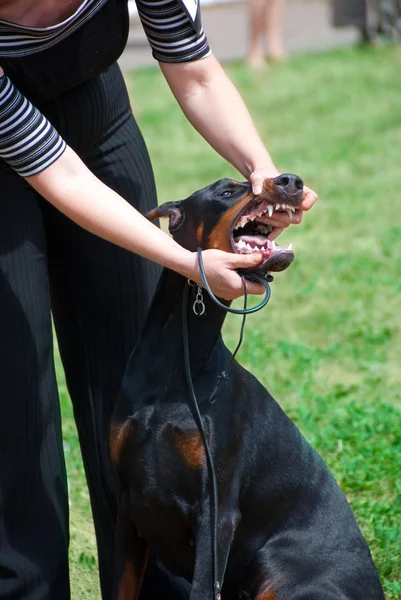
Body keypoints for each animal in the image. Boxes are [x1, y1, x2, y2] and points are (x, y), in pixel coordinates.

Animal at [109, 175, 384, 600]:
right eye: (225, 191)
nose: (290, 180)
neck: (176, 365)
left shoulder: (217, 512)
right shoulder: (127, 504)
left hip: (276, 568)